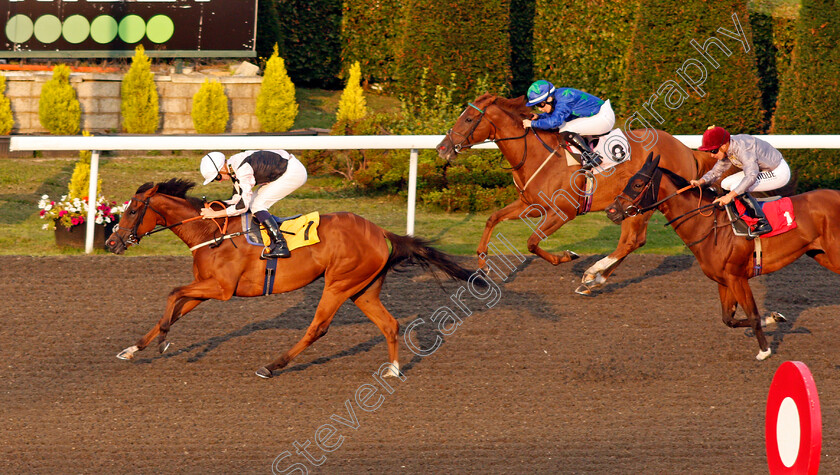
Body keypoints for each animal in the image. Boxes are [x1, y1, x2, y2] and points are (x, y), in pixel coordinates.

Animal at [106, 178, 486, 380]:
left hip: (338, 283)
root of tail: (380, 232)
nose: (111, 243)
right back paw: (393, 369)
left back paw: (273, 365)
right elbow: (174, 306)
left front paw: (163, 341)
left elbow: (172, 295)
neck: (210, 232)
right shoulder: (206, 289)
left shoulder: (222, 289)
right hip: (362, 289)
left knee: (318, 327)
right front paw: (133, 349)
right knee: (389, 324)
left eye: (132, 210)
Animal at [436, 92, 720, 294]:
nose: (442, 148)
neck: (535, 155)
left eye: (469, 119)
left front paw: (566, 256)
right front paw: (482, 265)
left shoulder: (563, 212)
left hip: (641, 202)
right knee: (632, 242)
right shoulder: (529, 204)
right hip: (632, 206)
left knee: (630, 241)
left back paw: (592, 275)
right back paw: (595, 280)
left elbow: (532, 243)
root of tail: (686, 149)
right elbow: (492, 219)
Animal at [608, 155, 840, 360]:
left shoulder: (737, 277)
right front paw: (773, 318)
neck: (709, 224)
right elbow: (728, 319)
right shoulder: (723, 281)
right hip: (821, 255)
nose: (612, 211)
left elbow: (752, 315)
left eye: (637, 184)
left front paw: (764, 351)